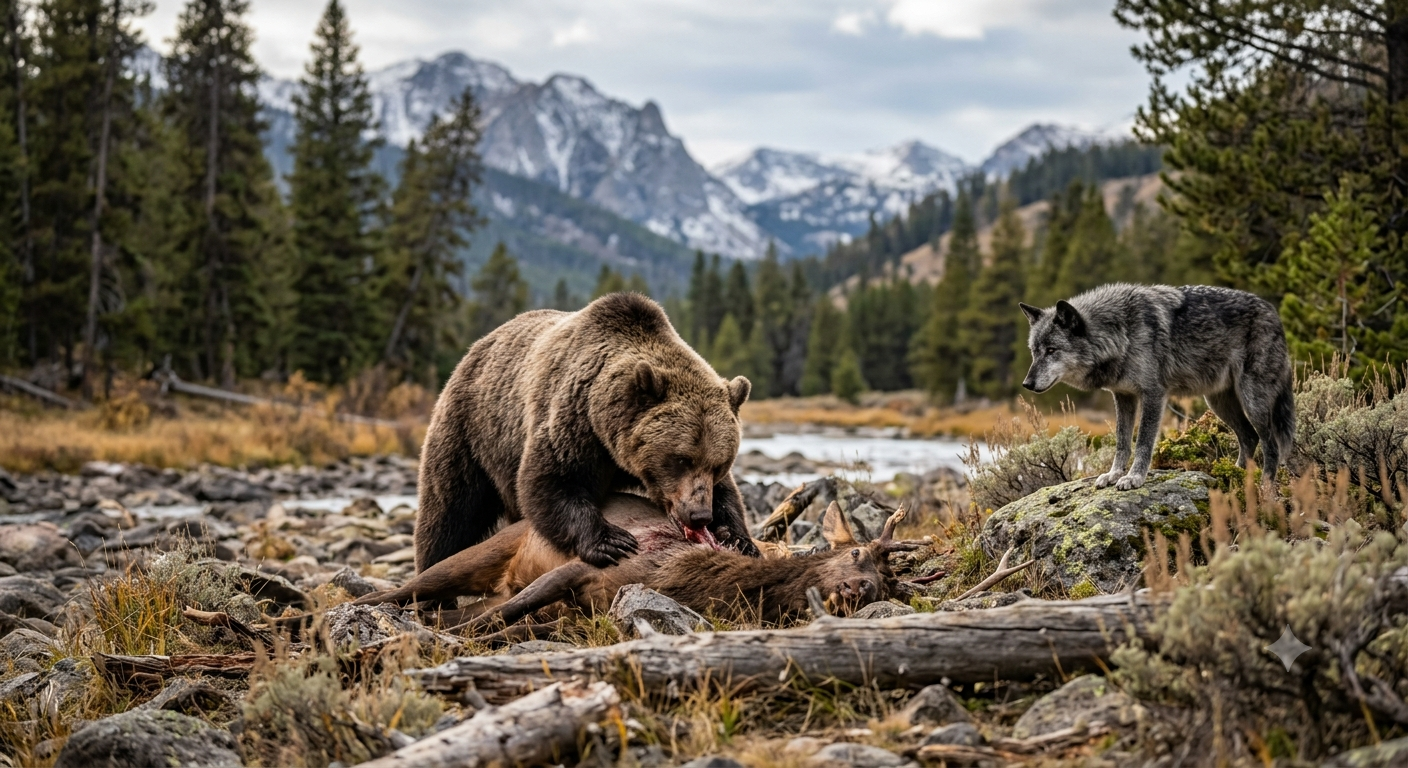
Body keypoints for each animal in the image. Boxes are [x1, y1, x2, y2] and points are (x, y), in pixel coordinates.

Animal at [1019, 283, 1294, 490]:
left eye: (1052, 350)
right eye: (1034, 351)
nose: (1027, 384)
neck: (1121, 332)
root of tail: (1273, 312)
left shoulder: (1153, 395)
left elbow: (1143, 442)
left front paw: (1133, 478)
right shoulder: (1123, 396)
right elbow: (1122, 442)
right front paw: (1113, 474)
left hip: (1251, 400)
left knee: (1271, 445)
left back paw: (1264, 488)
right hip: (1218, 403)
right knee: (1249, 436)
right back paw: (1231, 477)